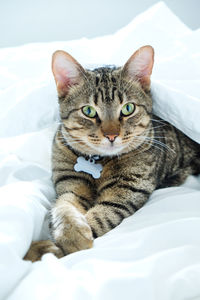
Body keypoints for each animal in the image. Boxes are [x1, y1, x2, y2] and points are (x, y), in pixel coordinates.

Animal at [24, 45, 200, 262]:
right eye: (89, 111)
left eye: (128, 108)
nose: (111, 135)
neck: (98, 162)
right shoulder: (70, 184)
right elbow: (62, 207)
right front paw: (66, 234)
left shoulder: (126, 191)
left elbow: (100, 216)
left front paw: (54, 247)